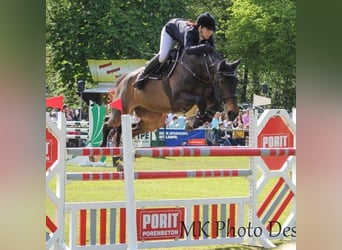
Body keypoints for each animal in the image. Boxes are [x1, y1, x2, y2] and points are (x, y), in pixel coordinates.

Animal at [101, 47, 240, 147]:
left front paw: (199, 119)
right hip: (121, 111)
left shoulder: (209, 96)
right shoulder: (178, 99)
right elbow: (200, 101)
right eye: (221, 81)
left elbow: (214, 104)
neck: (199, 71)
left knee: (132, 129)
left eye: (236, 81)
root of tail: (123, 79)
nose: (233, 113)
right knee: (108, 123)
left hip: (153, 120)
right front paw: (195, 121)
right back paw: (101, 149)